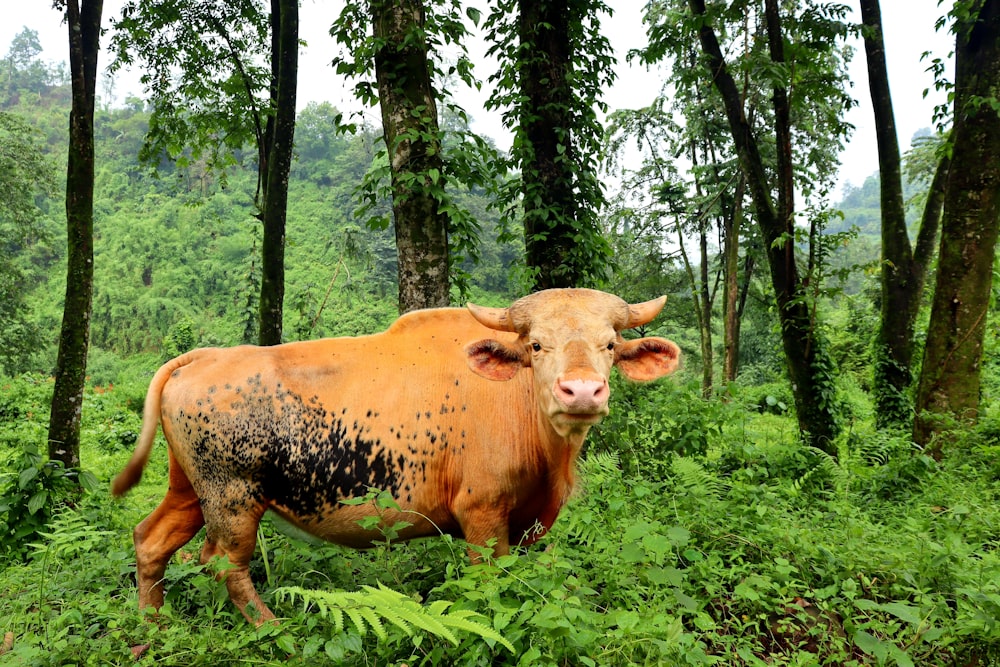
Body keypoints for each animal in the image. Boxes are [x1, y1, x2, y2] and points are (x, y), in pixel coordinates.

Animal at [113, 288, 684, 628]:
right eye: (537, 345)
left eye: (609, 344)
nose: (581, 391)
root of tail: (205, 356)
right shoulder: (482, 514)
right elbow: (488, 584)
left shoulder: (529, 524)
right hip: (233, 498)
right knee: (222, 562)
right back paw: (271, 627)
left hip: (190, 489)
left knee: (151, 541)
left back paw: (152, 627)